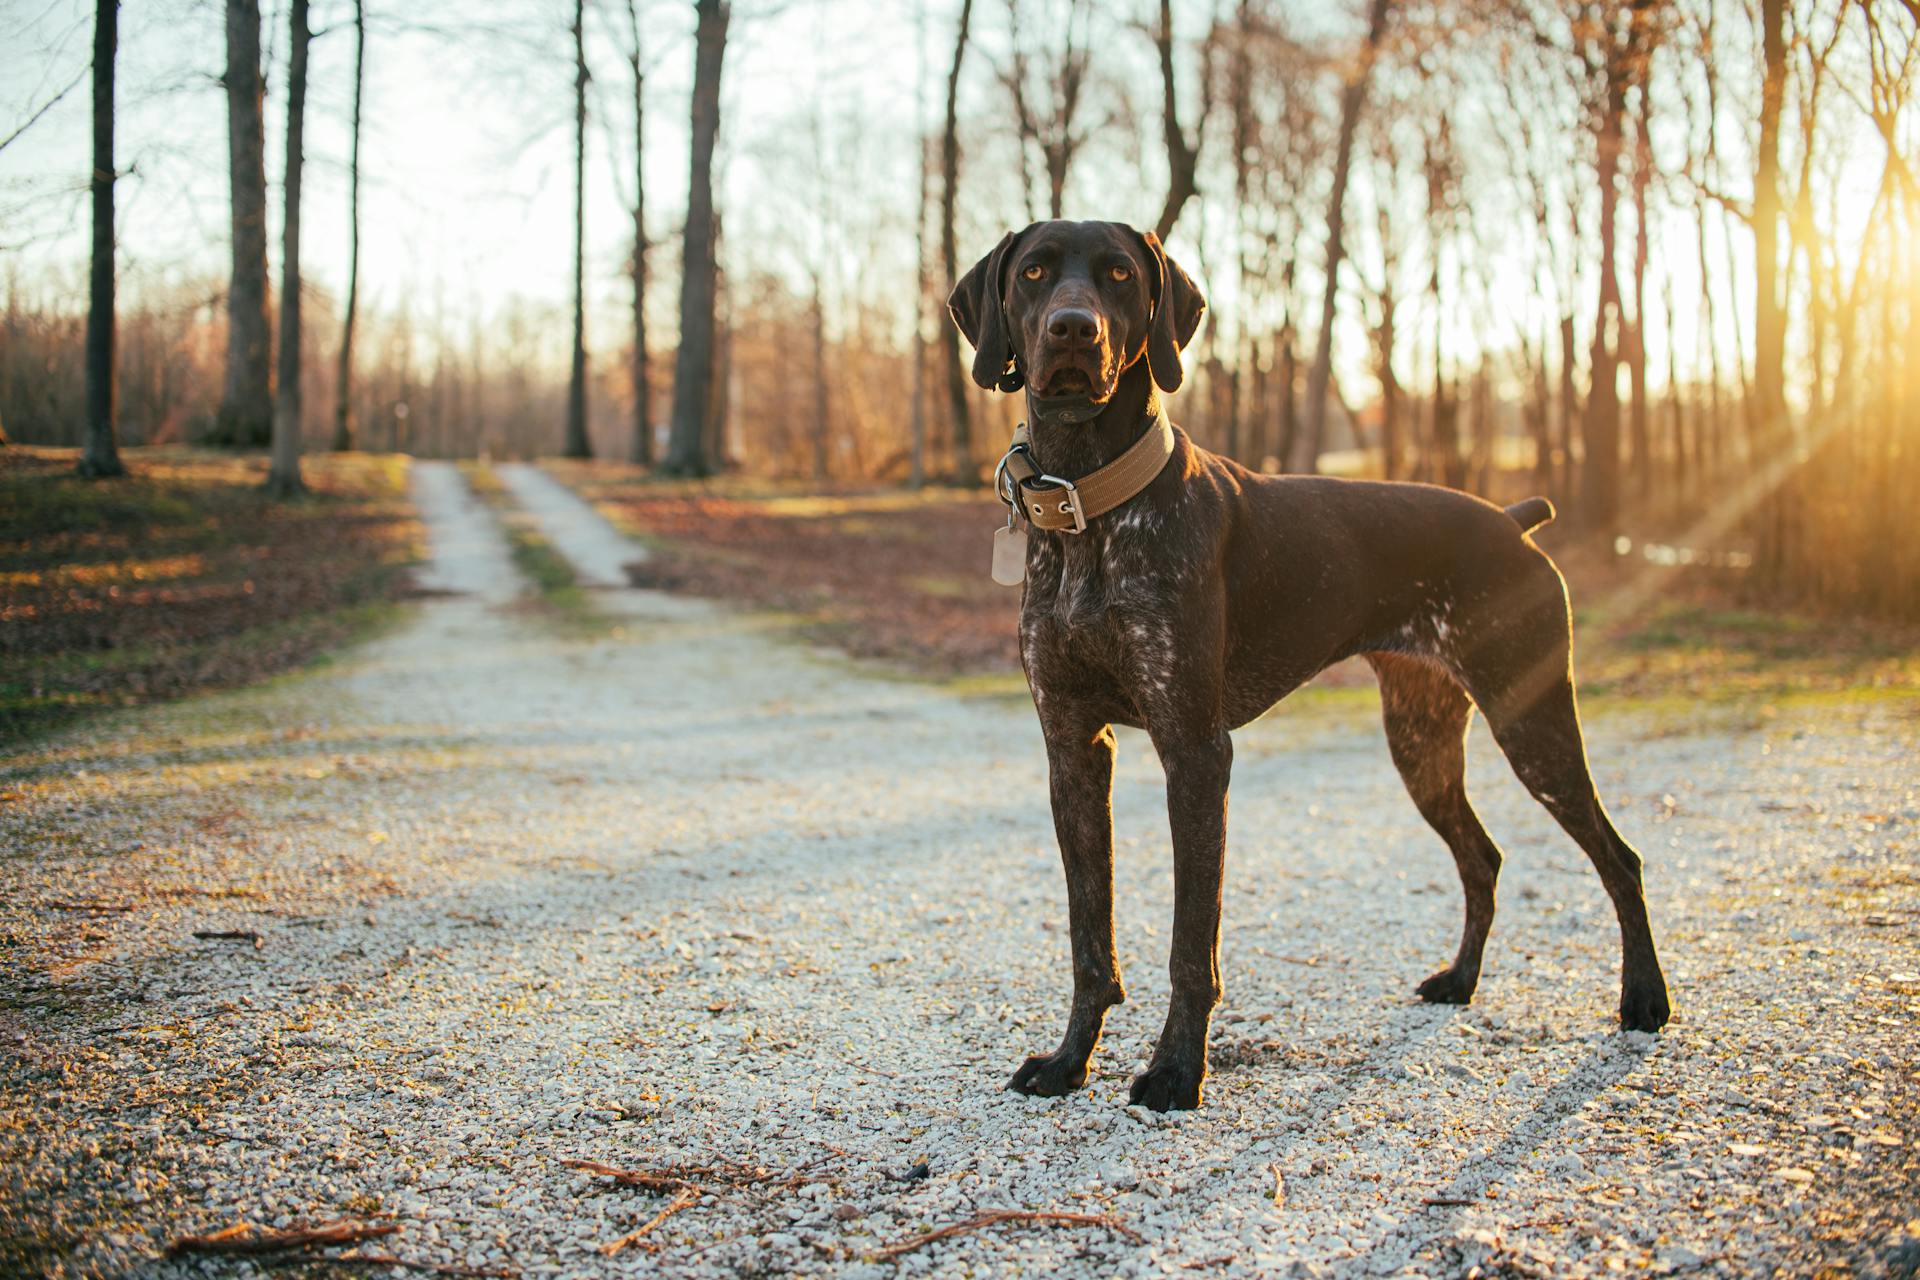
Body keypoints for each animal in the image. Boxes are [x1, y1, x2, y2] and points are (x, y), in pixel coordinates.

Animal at [952, 222, 1674, 1113]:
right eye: (1034, 273)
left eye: (1119, 275)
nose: (1073, 330)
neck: (1091, 502)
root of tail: (1513, 522)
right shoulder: (1073, 749)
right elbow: (1092, 941)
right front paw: (1068, 1061)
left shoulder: (1195, 751)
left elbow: (1191, 943)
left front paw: (1177, 1070)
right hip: (1423, 742)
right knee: (1484, 858)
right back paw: (1461, 981)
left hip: (1532, 721)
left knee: (1619, 857)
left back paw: (1645, 998)